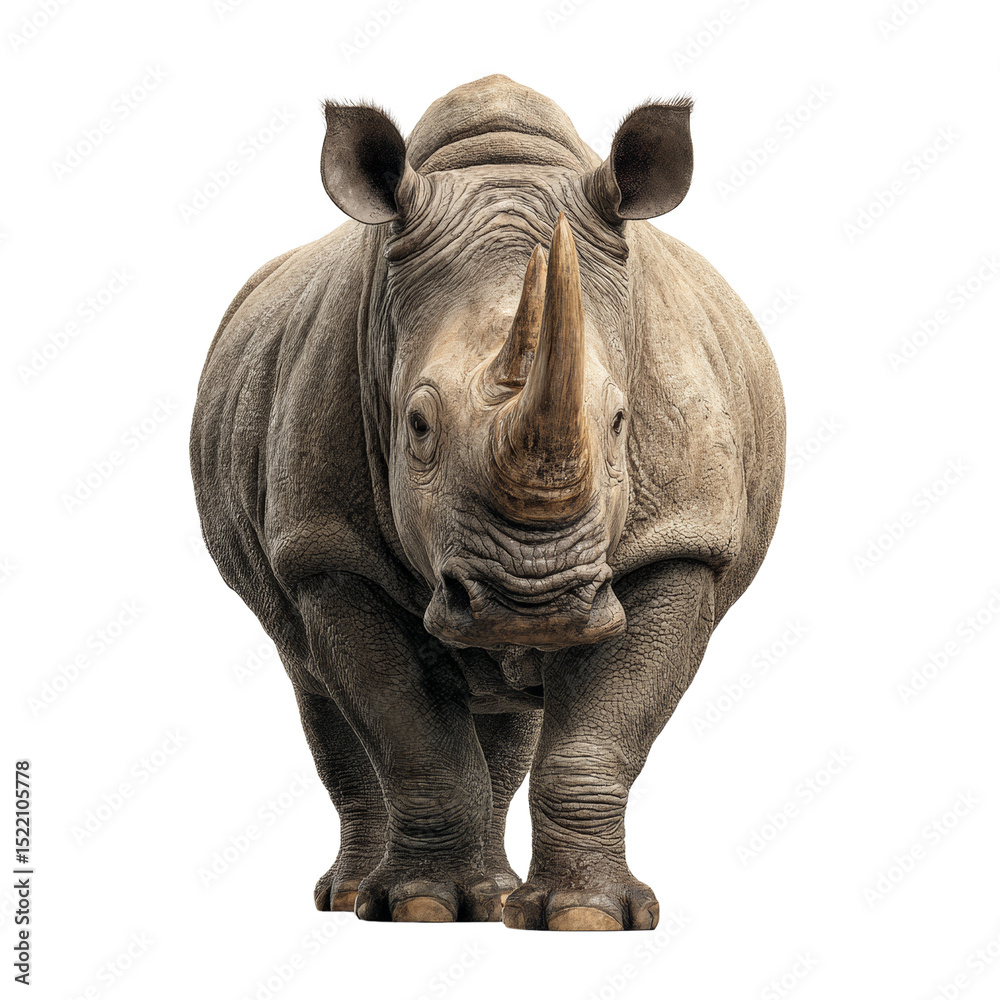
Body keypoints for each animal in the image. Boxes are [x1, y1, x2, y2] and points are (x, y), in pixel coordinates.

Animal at [190, 74, 784, 931]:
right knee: (315, 685)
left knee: (510, 704)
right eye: (417, 426)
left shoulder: (680, 542)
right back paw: (356, 898)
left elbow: (596, 741)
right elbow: (413, 738)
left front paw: (586, 917)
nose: (530, 601)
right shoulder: (330, 551)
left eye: (620, 421)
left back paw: (499, 899)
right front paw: (418, 907)